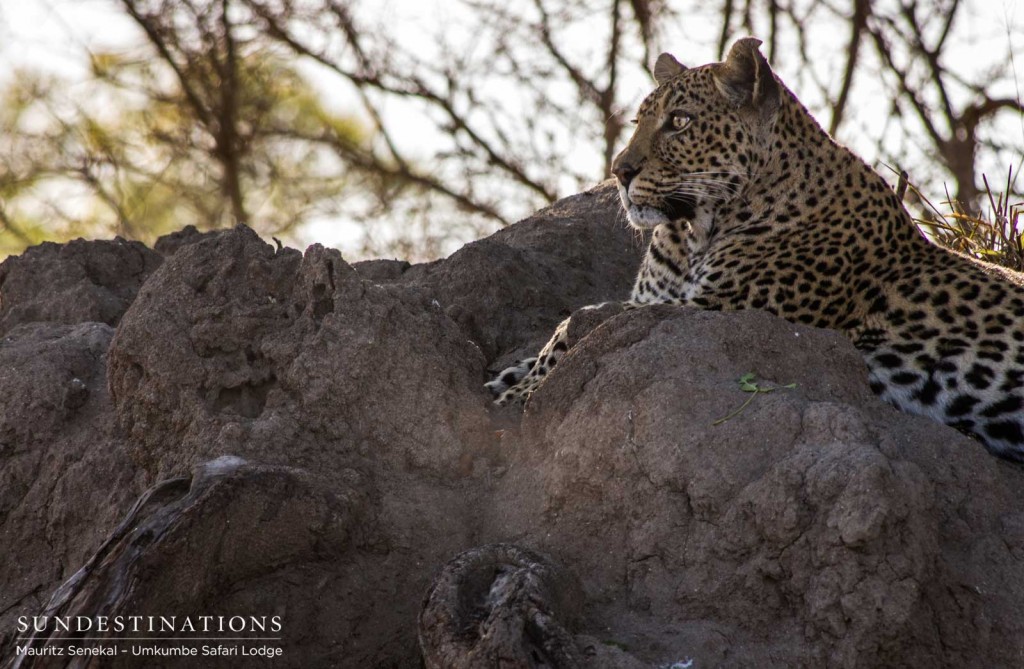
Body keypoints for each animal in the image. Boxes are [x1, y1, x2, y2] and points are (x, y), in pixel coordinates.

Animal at [487, 36, 1024, 461]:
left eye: (679, 121)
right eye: (639, 120)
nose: (620, 171)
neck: (694, 232)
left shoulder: (720, 310)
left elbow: (584, 321)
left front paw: (519, 394)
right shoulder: (664, 300)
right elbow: (575, 326)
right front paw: (509, 378)